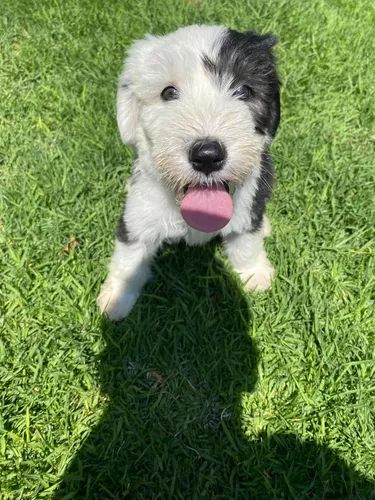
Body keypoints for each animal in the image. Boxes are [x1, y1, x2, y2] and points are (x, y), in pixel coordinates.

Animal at [98, 25, 280, 320]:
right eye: (168, 92)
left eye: (243, 90)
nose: (207, 155)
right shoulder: (140, 214)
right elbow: (128, 257)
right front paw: (117, 299)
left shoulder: (247, 203)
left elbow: (245, 242)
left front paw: (254, 274)